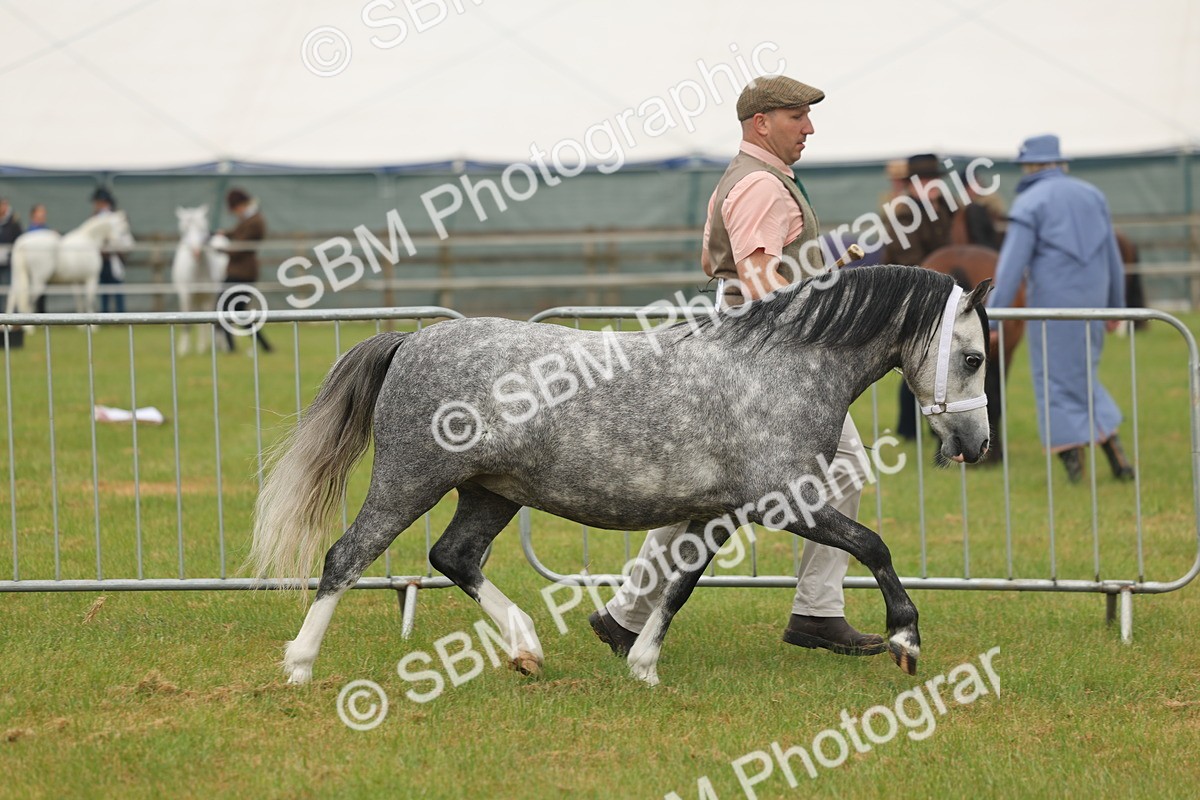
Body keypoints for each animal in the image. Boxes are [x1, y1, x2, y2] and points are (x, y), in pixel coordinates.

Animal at [172, 205, 229, 354]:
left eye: (202, 227)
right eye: (184, 229)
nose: (196, 252)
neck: (199, 270)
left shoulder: (210, 295)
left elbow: (209, 319)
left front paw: (209, 346)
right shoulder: (186, 294)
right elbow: (187, 321)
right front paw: (183, 349)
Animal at [250, 266, 992, 687]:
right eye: (976, 358)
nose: (976, 444)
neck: (779, 368)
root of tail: (408, 341)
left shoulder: (717, 512)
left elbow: (679, 586)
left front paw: (642, 665)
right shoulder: (788, 501)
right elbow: (874, 546)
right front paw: (904, 641)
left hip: (491, 492)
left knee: (452, 556)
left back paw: (526, 649)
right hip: (411, 480)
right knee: (347, 556)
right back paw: (298, 664)